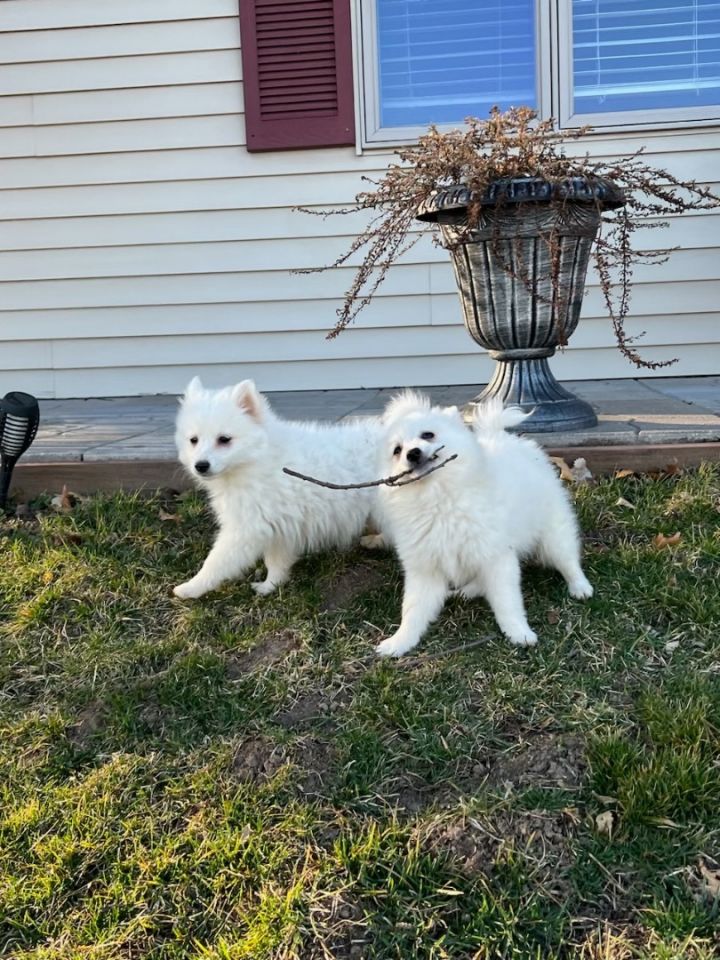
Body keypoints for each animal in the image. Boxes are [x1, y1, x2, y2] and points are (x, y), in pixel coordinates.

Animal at [174, 376, 382, 596]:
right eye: (193, 440)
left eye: (224, 439)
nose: (200, 466)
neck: (256, 460)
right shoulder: (278, 527)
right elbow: (275, 561)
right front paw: (270, 585)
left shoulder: (246, 528)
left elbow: (217, 561)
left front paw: (191, 587)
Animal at [372, 394, 592, 656]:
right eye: (397, 450)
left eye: (428, 434)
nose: (413, 453)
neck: (438, 497)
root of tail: (504, 436)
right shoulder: (425, 568)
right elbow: (413, 610)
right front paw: (399, 642)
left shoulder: (497, 557)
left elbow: (507, 602)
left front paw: (519, 632)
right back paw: (469, 590)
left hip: (553, 535)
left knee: (567, 560)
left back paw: (580, 586)